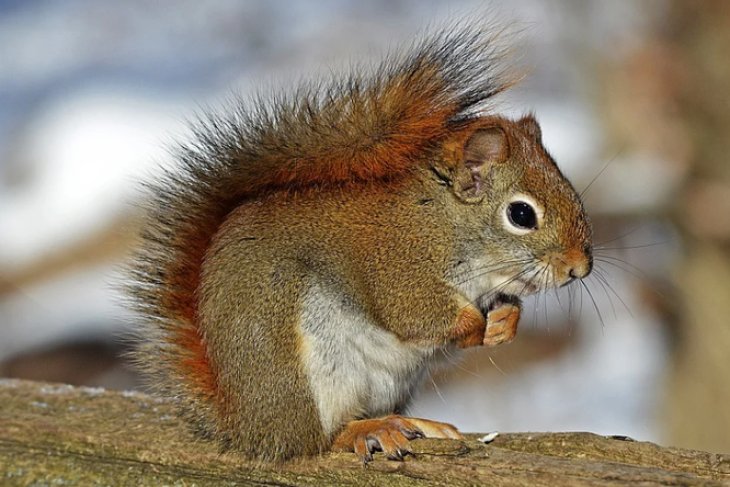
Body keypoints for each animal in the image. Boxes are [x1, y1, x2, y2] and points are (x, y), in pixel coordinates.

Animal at [127, 24, 593, 463]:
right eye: (521, 215)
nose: (579, 268)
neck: (444, 221)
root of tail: (246, 427)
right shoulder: (398, 263)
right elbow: (415, 315)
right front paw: (476, 325)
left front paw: (505, 322)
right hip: (306, 371)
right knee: (318, 439)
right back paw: (369, 430)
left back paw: (412, 423)